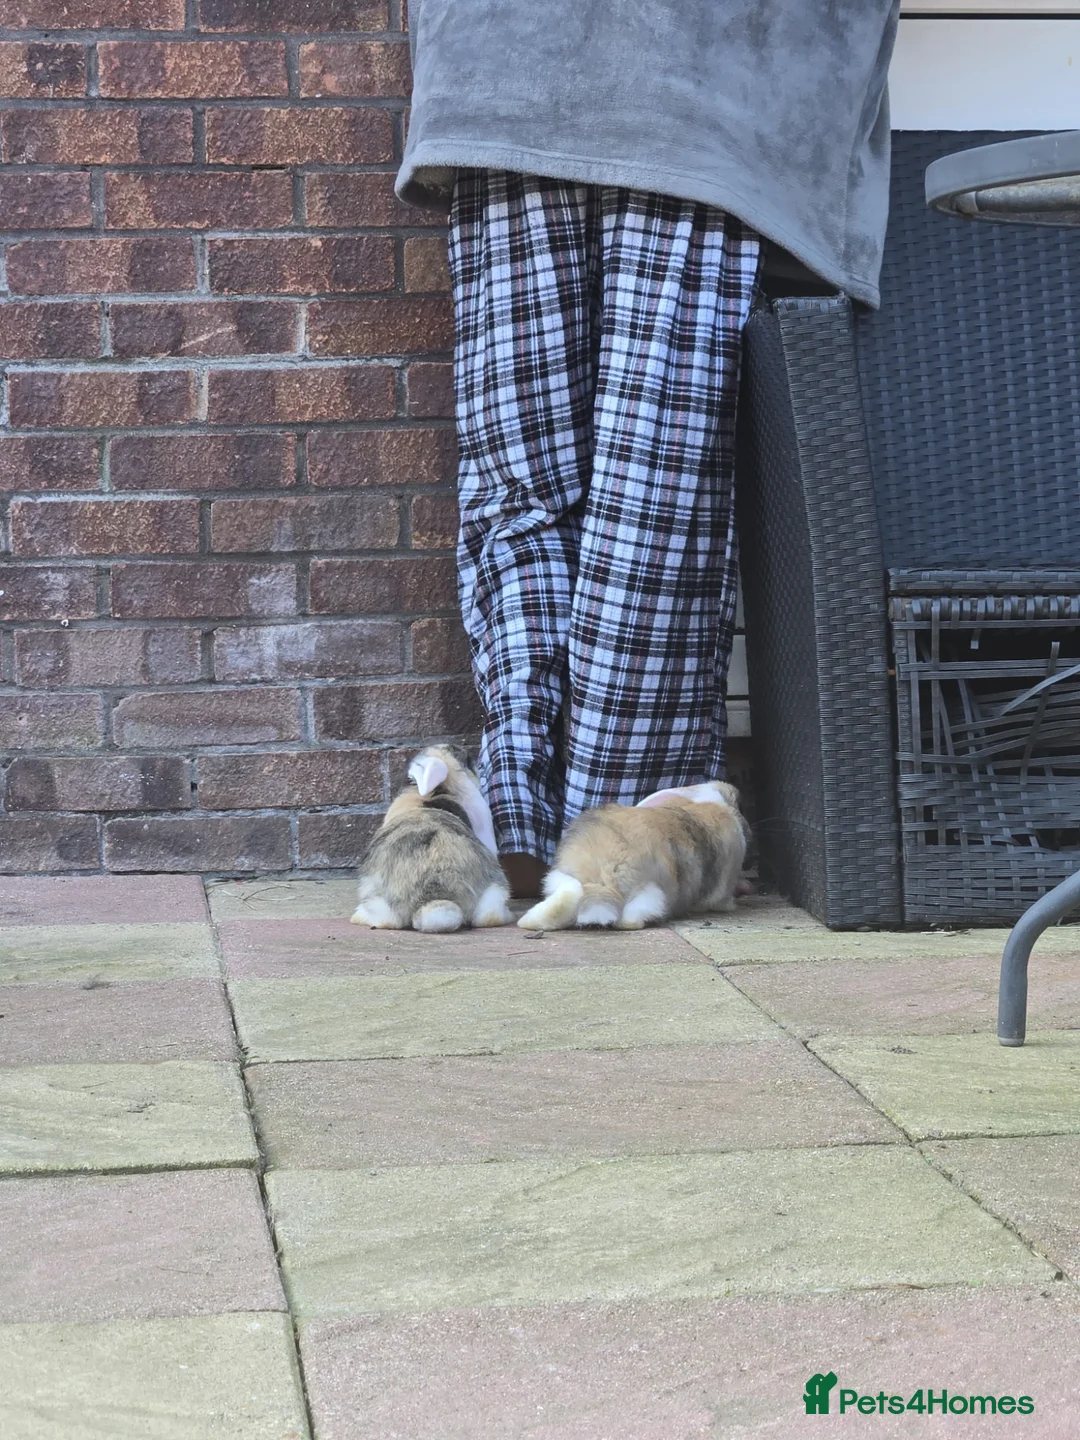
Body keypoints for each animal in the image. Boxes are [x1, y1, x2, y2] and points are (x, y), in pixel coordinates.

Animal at [517, 780, 748, 931]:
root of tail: (604, 877)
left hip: (557, 877)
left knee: (566, 896)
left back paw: (528, 923)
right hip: (651, 892)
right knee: (633, 918)